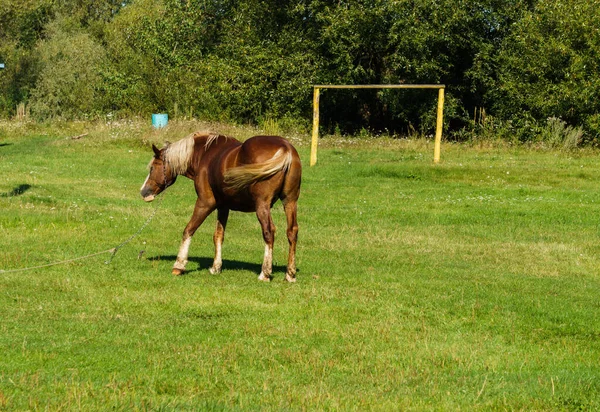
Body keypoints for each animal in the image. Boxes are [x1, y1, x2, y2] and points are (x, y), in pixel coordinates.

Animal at [139, 134, 300, 282]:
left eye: (152, 168)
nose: (143, 192)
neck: (205, 155)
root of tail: (285, 148)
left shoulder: (205, 203)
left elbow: (189, 230)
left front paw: (179, 265)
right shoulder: (223, 207)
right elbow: (218, 235)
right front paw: (216, 267)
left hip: (262, 205)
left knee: (269, 232)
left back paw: (265, 273)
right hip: (290, 202)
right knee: (292, 232)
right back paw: (290, 274)